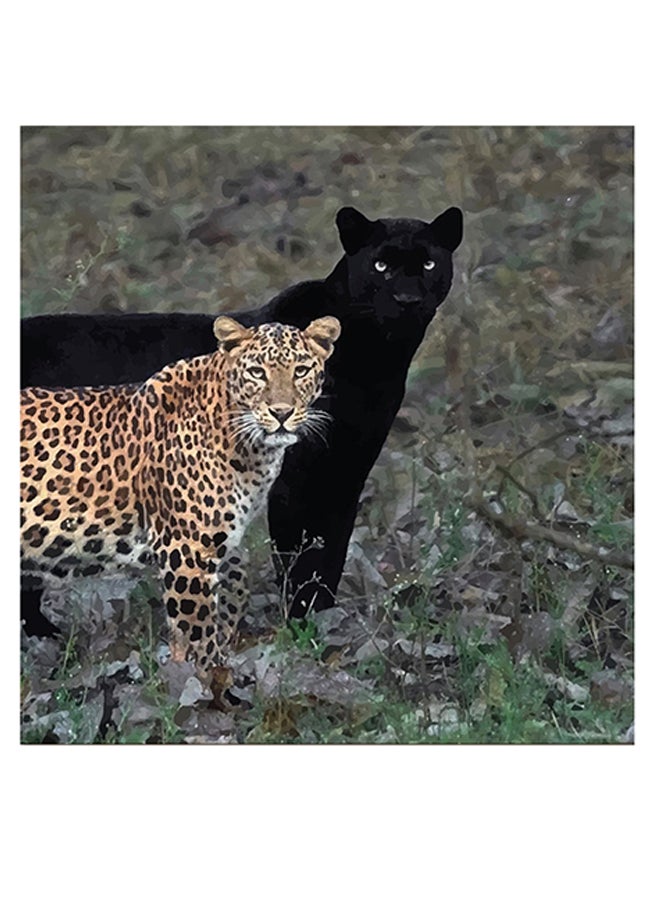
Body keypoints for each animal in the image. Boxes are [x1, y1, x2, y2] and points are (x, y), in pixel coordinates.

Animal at [20, 315, 340, 679]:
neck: (251, 450)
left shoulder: (220, 539)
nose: (282, 412)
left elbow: (235, 589)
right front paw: (211, 683)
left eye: (301, 370)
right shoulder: (186, 549)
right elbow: (199, 633)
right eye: (257, 372)